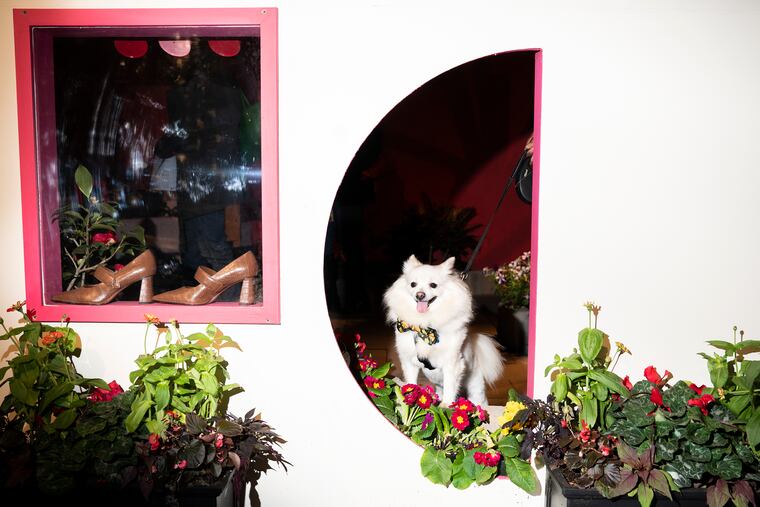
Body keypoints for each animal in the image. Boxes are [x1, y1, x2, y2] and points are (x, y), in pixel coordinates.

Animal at [386, 256, 504, 406]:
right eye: (413, 284)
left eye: (433, 285)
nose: (420, 295)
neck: (424, 328)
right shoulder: (409, 362)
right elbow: (411, 383)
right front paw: (409, 400)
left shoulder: (452, 364)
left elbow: (450, 387)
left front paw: (446, 405)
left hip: (475, 385)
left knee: (478, 399)